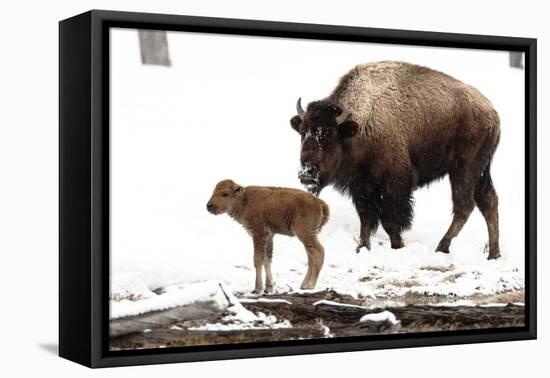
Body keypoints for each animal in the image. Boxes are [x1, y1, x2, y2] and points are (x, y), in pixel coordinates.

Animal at [296, 61, 502, 260]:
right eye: (302, 132)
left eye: (329, 134)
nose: (306, 173)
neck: (360, 126)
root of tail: (492, 112)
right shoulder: (361, 187)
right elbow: (366, 219)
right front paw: (362, 248)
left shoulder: (394, 185)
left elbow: (390, 222)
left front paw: (397, 246)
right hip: (481, 171)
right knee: (488, 202)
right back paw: (493, 254)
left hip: (463, 169)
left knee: (464, 206)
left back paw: (442, 247)